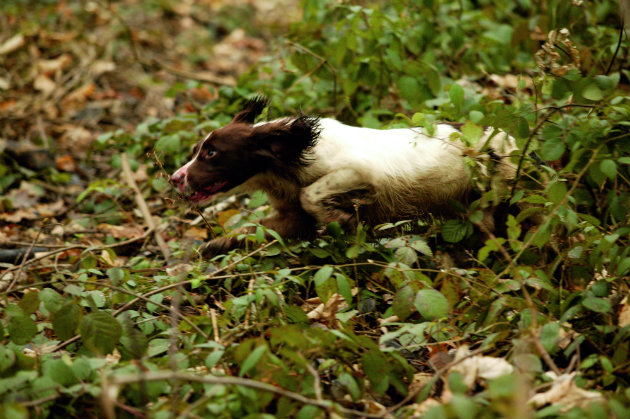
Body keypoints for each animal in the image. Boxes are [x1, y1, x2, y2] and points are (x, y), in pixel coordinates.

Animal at [172, 97, 520, 256]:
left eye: (211, 153)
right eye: (199, 149)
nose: (175, 177)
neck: (288, 161)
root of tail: (506, 137)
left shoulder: (362, 172)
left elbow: (311, 194)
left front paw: (340, 220)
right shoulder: (291, 218)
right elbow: (255, 227)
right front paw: (211, 245)